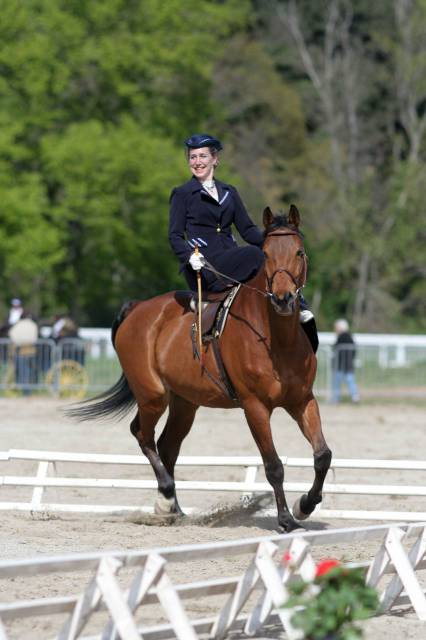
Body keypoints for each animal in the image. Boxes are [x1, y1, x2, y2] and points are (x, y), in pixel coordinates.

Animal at [69, 206, 330, 536]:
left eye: (299, 252)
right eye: (267, 255)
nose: (284, 299)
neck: (277, 339)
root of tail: (138, 307)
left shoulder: (302, 400)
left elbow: (322, 455)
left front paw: (305, 505)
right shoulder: (255, 407)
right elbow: (273, 466)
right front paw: (286, 519)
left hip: (185, 403)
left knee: (167, 446)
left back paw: (173, 509)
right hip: (153, 395)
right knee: (142, 434)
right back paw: (166, 498)